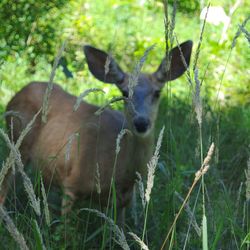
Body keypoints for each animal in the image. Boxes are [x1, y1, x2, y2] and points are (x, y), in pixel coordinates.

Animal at [0, 41, 192, 223]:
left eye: (157, 92)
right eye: (124, 92)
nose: (141, 123)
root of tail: (18, 93)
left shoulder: (122, 203)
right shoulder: (72, 183)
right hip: (17, 142)